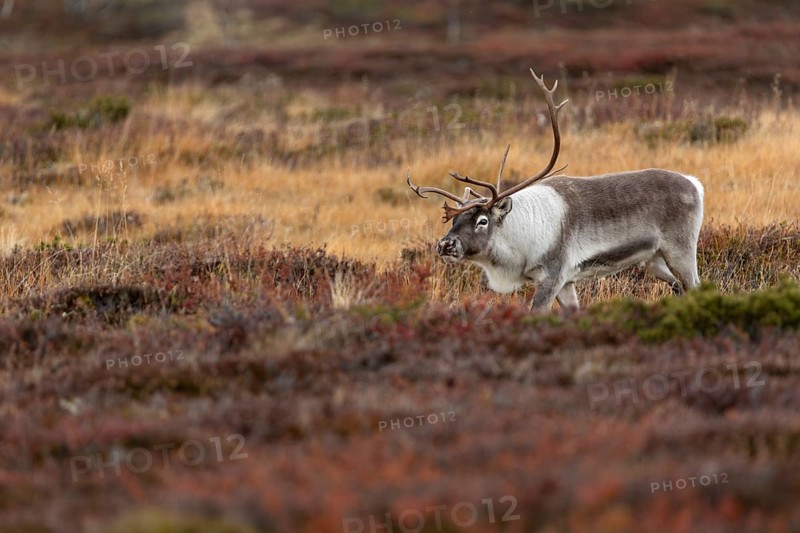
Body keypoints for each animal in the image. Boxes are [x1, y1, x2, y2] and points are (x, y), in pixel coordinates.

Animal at [406, 69, 704, 313]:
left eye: (482, 221)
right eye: (455, 219)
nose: (445, 245)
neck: (520, 238)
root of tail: (694, 183)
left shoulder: (552, 276)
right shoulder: (567, 283)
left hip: (680, 250)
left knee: (693, 285)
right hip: (653, 259)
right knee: (678, 287)